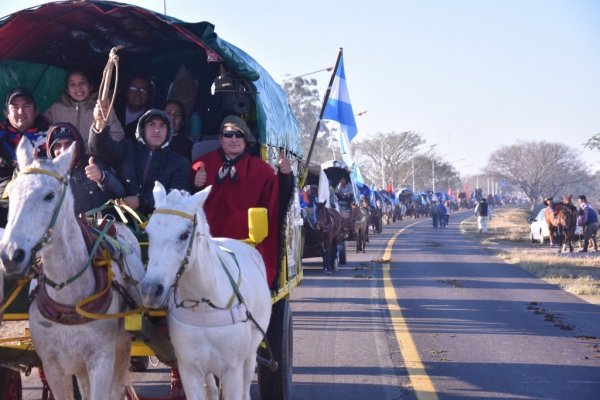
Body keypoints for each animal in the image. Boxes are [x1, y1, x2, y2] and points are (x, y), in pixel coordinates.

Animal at [0, 138, 144, 400]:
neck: (68, 297)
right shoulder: (53, 366)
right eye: (12, 193)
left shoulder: (101, 360)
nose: (9, 254)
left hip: (122, 347)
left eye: (49, 196)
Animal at [141, 182, 272, 400]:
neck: (204, 304)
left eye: (184, 235)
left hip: (251, 353)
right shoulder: (189, 369)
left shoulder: (232, 370)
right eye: (149, 233)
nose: (150, 290)